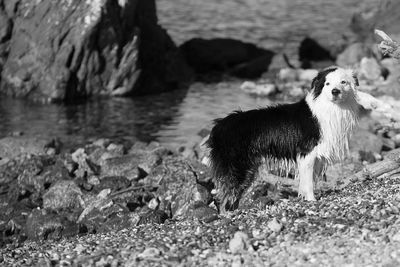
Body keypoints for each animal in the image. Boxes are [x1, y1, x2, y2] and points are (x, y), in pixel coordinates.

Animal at [208, 67, 358, 211]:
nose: (335, 91)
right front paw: (311, 200)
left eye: (343, 82)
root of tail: (219, 125)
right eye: (327, 83)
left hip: (248, 169)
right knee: (224, 198)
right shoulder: (307, 152)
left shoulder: (316, 158)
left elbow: (308, 181)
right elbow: (308, 182)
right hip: (237, 167)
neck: (328, 107)